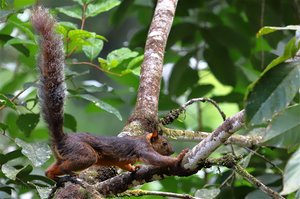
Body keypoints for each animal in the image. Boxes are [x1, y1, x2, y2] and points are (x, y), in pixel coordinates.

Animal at [31, 6, 189, 180]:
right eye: (164, 143)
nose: (172, 150)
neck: (144, 139)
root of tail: (61, 139)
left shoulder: (124, 159)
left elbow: (123, 164)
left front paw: (133, 168)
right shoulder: (142, 148)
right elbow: (156, 159)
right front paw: (177, 158)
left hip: (63, 157)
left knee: (50, 169)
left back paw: (52, 175)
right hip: (82, 152)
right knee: (75, 162)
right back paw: (70, 173)